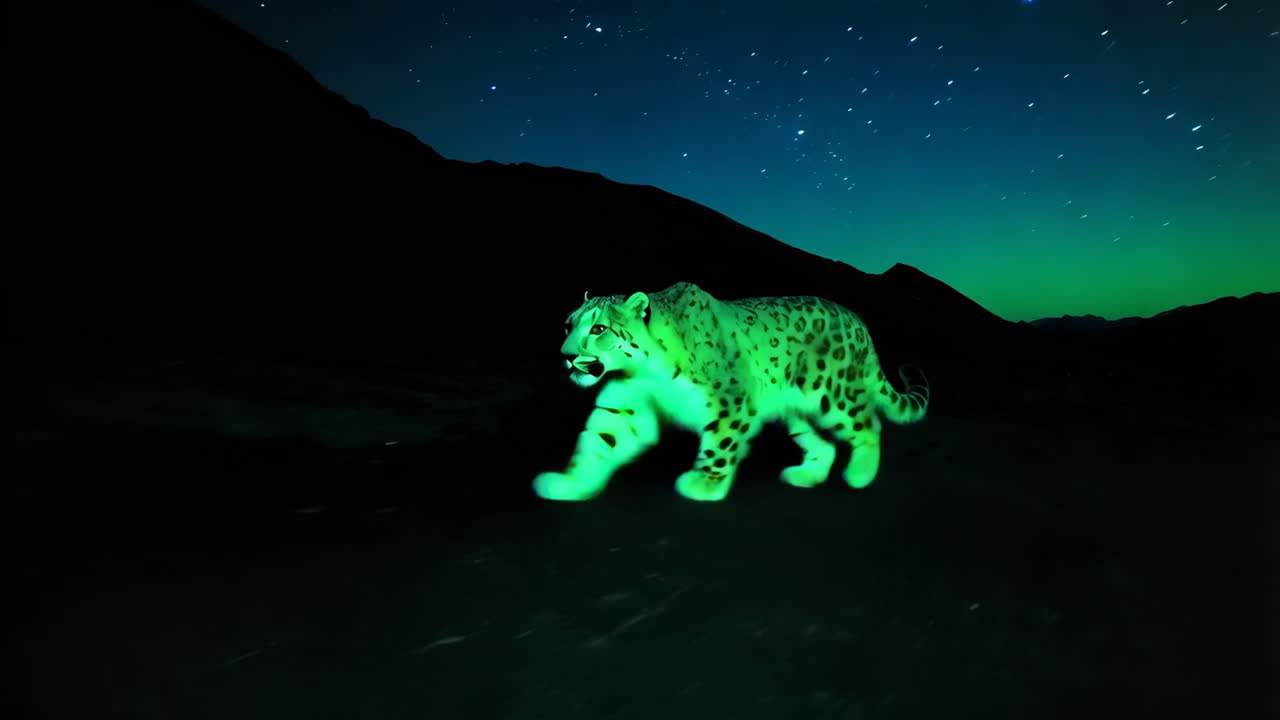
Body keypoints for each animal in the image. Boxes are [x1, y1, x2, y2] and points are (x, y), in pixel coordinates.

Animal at [533, 281, 929, 502]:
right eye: (567, 324)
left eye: (599, 328)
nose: (567, 356)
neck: (646, 372)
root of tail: (858, 322)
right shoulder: (627, 403)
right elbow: (599, 440)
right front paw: (569, 483)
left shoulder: (729, 401)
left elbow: (720, 443)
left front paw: (703, 484)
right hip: (797, 413)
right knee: (824, 442)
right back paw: (807, 476)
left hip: (833, 392)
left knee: (867, 424)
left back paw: (860, 475)